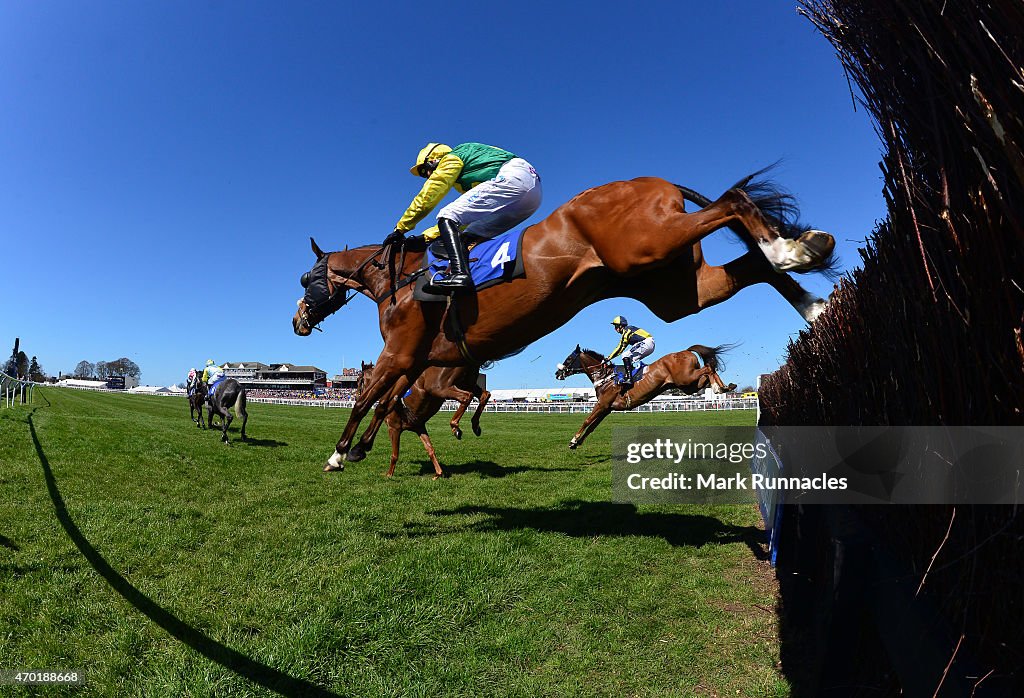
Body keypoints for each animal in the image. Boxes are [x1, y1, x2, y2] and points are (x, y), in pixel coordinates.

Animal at [552, 343, 737, 450]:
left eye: (568, 359)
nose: (557, 373)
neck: (605, 377)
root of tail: (685, 351)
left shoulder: (602, 405)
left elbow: (586, 421)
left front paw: (573, 440)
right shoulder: (607, 409)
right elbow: (592, 426)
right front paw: (578, 442)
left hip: (686, 378)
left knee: (708, 368)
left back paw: (720, 387)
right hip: (688, 386)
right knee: (707, 374)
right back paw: (724, 387)